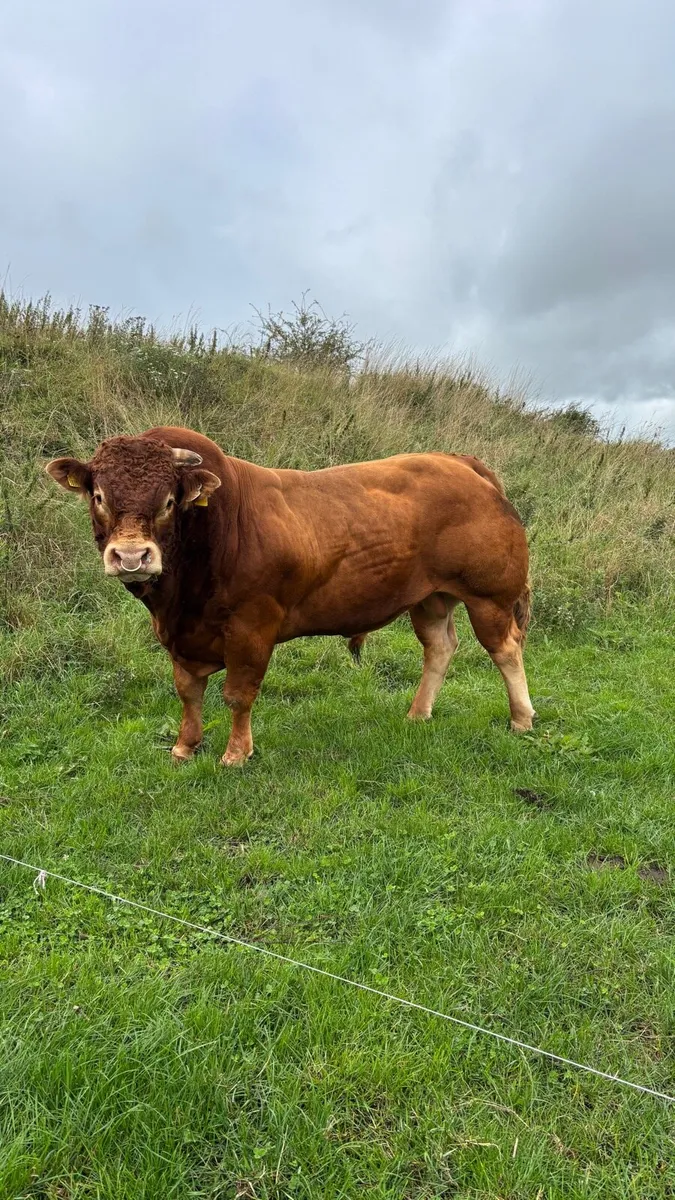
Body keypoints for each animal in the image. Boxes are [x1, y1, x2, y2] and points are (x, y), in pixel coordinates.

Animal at [46, 427, 535, 766]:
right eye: (98, 495)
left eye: (169, 501)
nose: (132, 556)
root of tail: (460, 462)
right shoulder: (180, 634)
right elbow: (187, 691)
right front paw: (185, 746)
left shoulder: (251, 628)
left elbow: (238, 693)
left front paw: (236, 754)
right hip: (430, 597)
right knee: (440, 647)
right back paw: (418, 713)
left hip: (489, 597)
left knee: (506, 649)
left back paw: (521, 718)